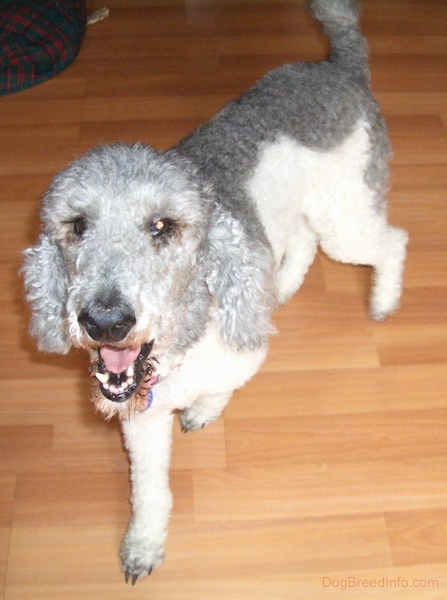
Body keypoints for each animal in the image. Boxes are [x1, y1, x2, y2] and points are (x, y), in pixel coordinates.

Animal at [23, 0, 410, 584]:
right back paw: (281, 288)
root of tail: (339, 67)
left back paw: (383, 299)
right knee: (302, 243)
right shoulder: (142, 421)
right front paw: (144, 545)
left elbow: (225, 385)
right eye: (77, 226)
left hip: (345, 218)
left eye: (163, 227)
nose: (105, 321)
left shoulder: (239, 359)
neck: (176, 350)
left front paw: (205, 408)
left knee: (391, 242)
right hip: (310, 214)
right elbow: (150, 493)